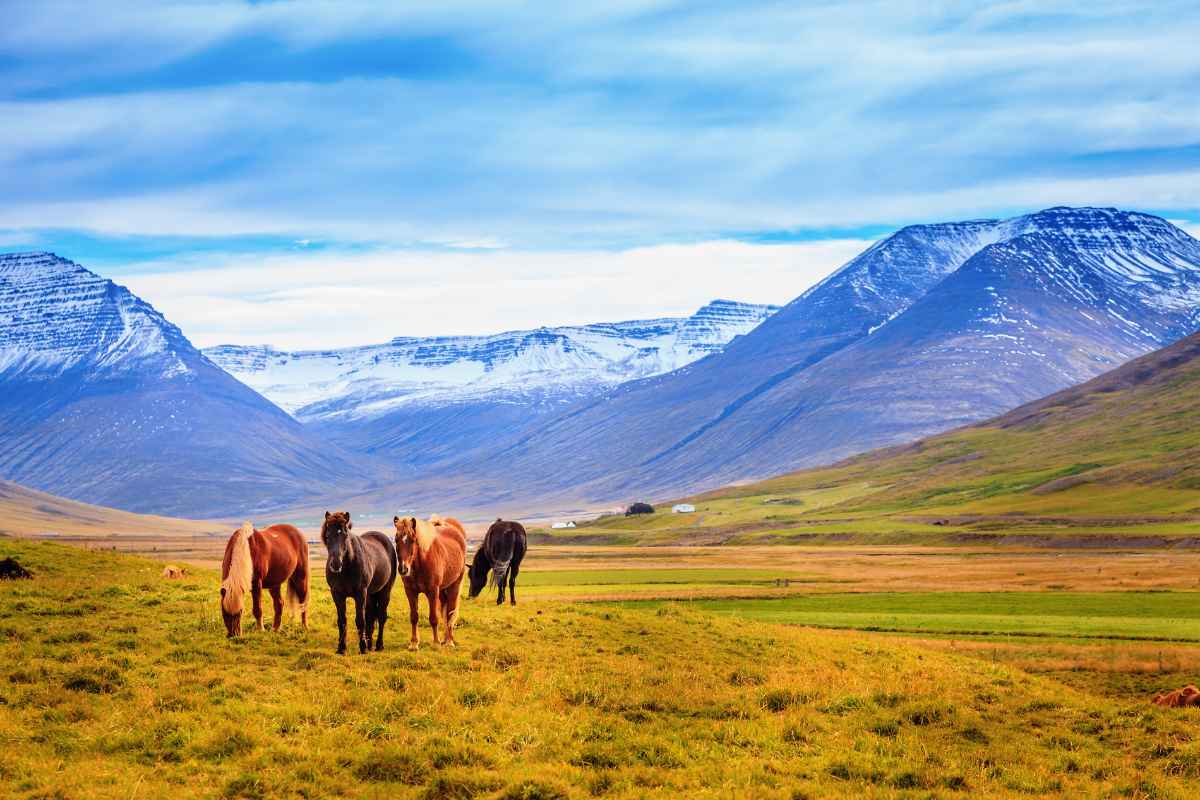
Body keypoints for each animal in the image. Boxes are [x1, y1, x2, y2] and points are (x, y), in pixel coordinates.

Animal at [319, 513, 398, 657]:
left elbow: (360, 620)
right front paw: (341, 648)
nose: (336, 564)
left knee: (381, 617)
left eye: (345, 535)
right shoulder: (337, 594)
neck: (347, 566)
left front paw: (362, 648)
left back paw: (379, 645)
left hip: (385, 591)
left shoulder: (360, 593)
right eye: (327, 536)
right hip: (371, 594)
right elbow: (342, 621)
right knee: (371, 616)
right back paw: (370, 644)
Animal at [396, 513, 465, 652]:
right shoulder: (410, 592)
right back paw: (445, 639)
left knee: (450, 613)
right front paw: (414, 643)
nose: (403, 569)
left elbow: (434, 618)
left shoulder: (432, 592)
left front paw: (436, 643)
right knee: (445, 613)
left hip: (454, 585)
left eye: (413, 540)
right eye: (396, 540)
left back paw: (449, 641)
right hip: (442, 591)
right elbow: (414, 617)